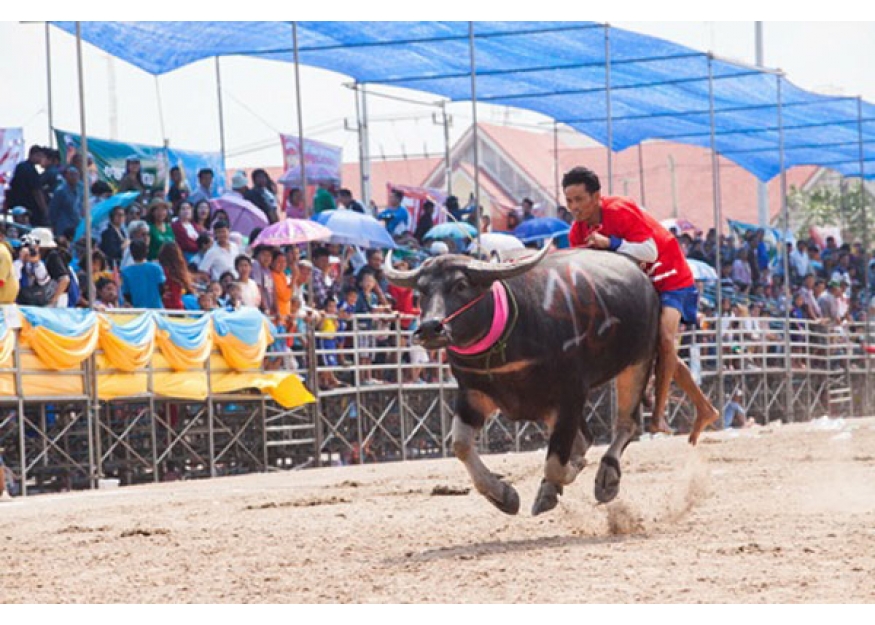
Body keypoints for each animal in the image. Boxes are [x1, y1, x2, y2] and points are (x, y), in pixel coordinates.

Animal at [386, 246, 660, 516]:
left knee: (626, 424)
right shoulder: (473, 393)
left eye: (461, 285)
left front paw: (566, 474)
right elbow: (461, 444)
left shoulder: (571, 395)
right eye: (421, 291)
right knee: (587, 436)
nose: (430, 328)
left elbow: (556, 463)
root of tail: (641, 273)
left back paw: (606, 478)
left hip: (639, 362)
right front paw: (503, 495)